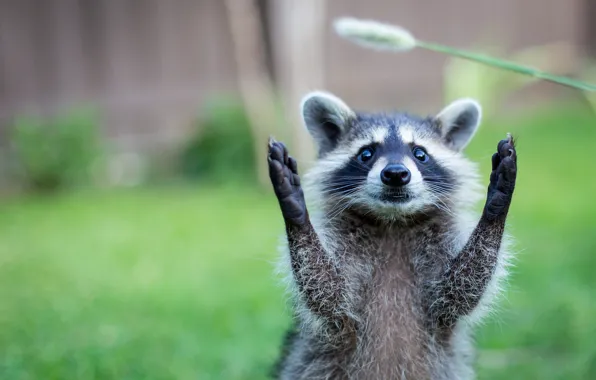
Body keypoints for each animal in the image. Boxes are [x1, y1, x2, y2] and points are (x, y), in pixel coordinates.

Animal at [268, 90, 516, 378]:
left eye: (420, 153)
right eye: (366, 153)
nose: (396, 174)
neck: (393, 222)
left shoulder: (441, 254)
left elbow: (462, 288)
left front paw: (495, 207)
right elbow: (327, 290)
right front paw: (296, 213)